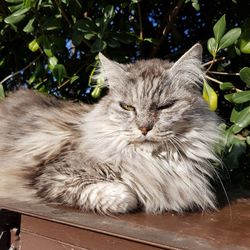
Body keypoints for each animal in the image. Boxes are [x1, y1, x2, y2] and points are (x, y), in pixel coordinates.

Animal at [0, 44, 221, 214]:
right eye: (128, 107)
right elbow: (124, 195)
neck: (151, 161)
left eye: (164, 107)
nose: (144, 128)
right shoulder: (54, 176)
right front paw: (135, 196)